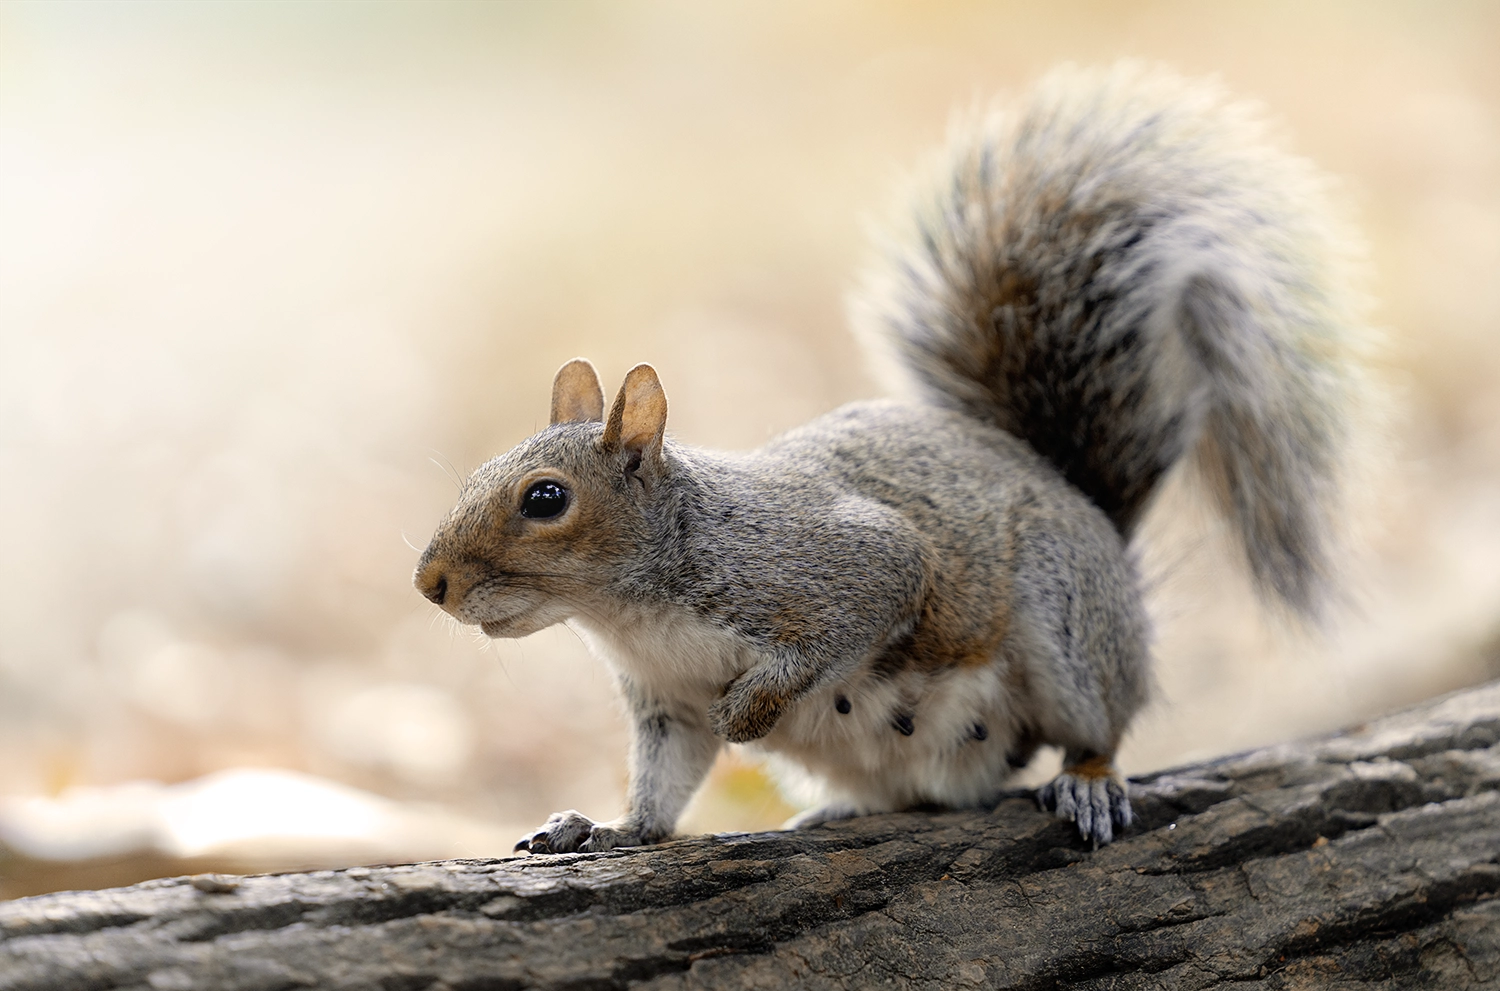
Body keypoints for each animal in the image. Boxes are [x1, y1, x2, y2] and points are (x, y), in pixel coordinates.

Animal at [414, 63, 1365, 851]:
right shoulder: (665, 706)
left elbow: (858, 606)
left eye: (544, 499)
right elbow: (663, 785)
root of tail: (1095, 524)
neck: (634, 614)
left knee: (1097, 724)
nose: (431, 583)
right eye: (476, 474)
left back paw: (1089, 780)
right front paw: (610, 827)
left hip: (1065, 622)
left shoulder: (843, 563)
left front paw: (750, 710)